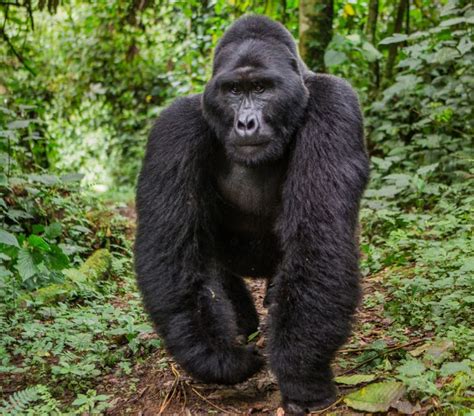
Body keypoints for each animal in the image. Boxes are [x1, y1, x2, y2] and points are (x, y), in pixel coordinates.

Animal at [135, 14, 368, 414]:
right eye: (232, 91)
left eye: (261, 88)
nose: (246, 123)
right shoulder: (174, 127)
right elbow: (171, 251)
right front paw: (220, 360)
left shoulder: (335, 104)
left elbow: (317, 236)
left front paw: (301, 375)